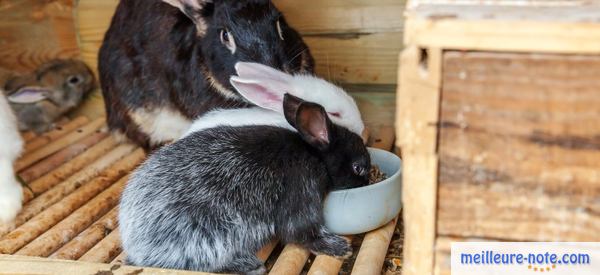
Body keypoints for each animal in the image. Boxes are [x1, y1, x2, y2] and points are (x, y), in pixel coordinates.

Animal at [118, 94, 370, 274]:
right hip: (209, 236)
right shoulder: (302, 190)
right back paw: (250, 265)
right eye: (358, 167)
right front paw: (340, 248)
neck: (315, 155)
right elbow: (302, 231)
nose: (368, 180)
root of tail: (133, 241)